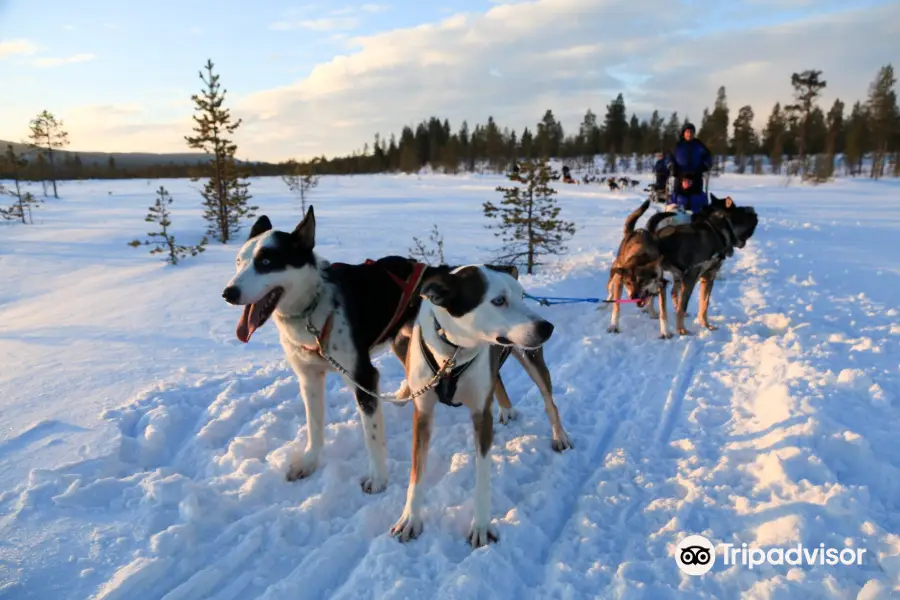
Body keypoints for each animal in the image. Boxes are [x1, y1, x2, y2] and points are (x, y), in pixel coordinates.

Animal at [394, 264, 556, 548]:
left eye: (521, 296)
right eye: (499, 300)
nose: (547, 327)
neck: (452, 354)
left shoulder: (481, 415)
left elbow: (482, 476)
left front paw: (480, 526)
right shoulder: (423, 414)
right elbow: (417, 472)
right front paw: (410, 519)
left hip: (532, 360)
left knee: (550, 404)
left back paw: (560, 437)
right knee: (498, 381)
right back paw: (506, 408)